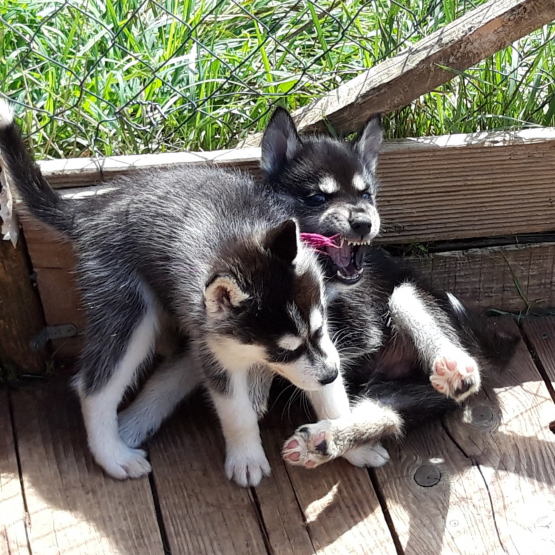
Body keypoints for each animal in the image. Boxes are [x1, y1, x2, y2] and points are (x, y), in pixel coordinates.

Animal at [0, 101, 354, 486]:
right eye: (281, 351)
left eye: (317, 331)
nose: (331, 374)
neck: (237, 239)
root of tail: (95, 210)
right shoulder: (217, 354)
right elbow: (237, 414)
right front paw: (246, 457)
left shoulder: (321, 337)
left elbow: (331, 399)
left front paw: (348, 438)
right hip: (128, 312)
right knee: (93, 388)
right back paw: (113, 455)